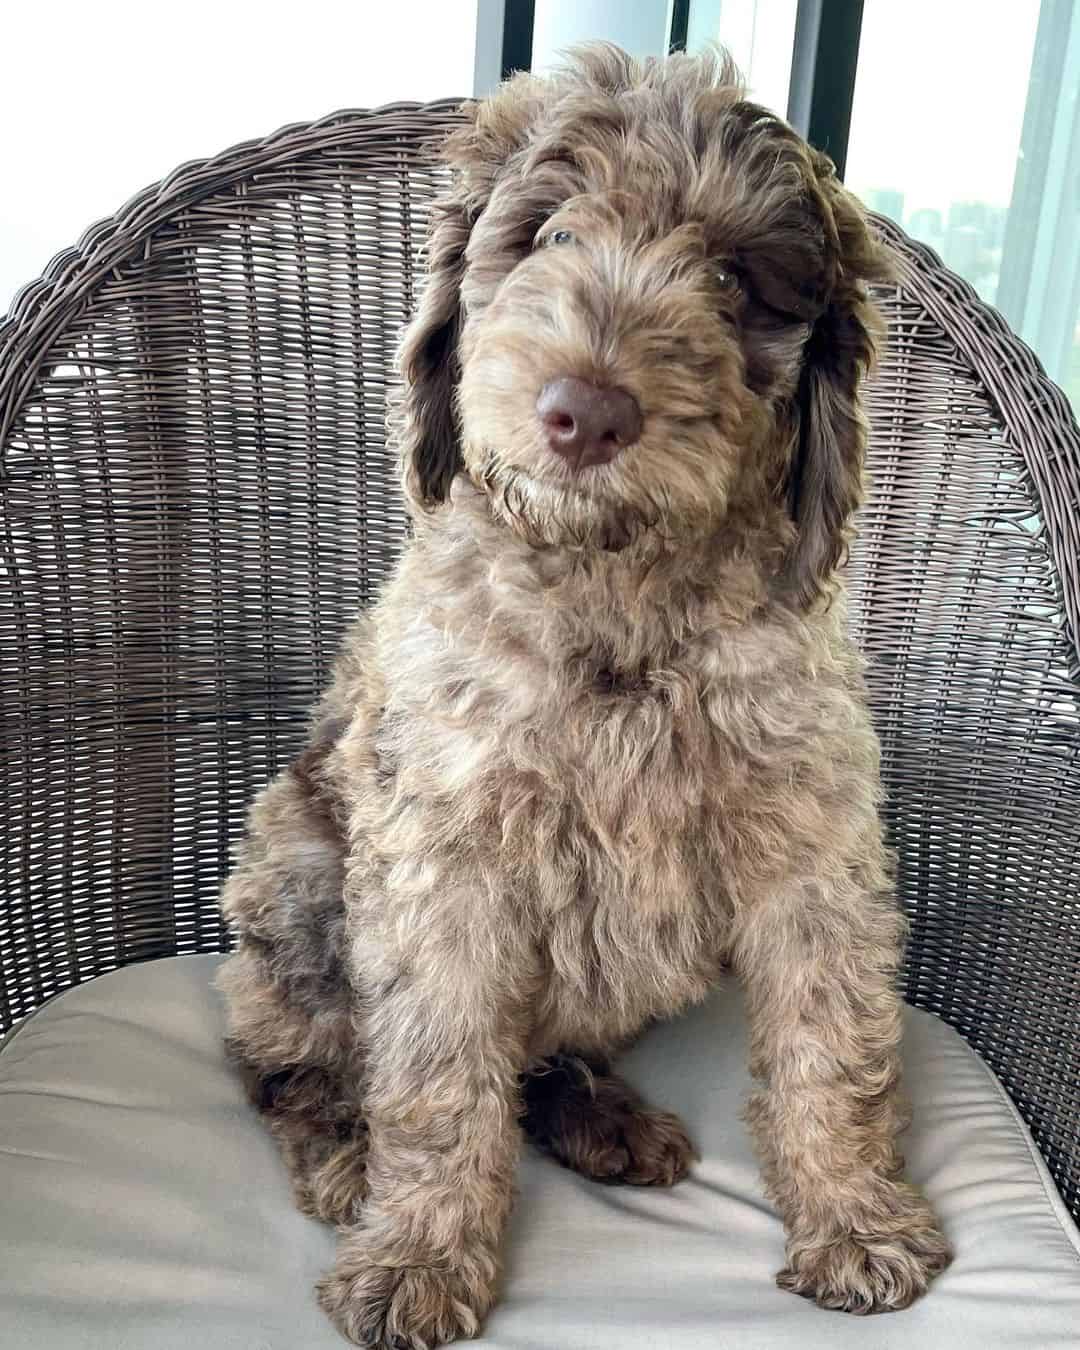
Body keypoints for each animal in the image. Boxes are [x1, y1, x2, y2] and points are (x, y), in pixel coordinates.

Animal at [214, 44, 950, 1350]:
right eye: (550, 234)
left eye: (730, 278)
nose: (587, 411)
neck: (618, 591)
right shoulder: (442, 856)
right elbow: (439, 1072)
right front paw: (419, 1251)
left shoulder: (812, 842)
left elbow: (833, 1034)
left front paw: (856, 1214)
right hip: (294, 870)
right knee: (288, 1061)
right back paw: (346, 1150)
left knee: (537, 1057)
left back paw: (598, 1114)